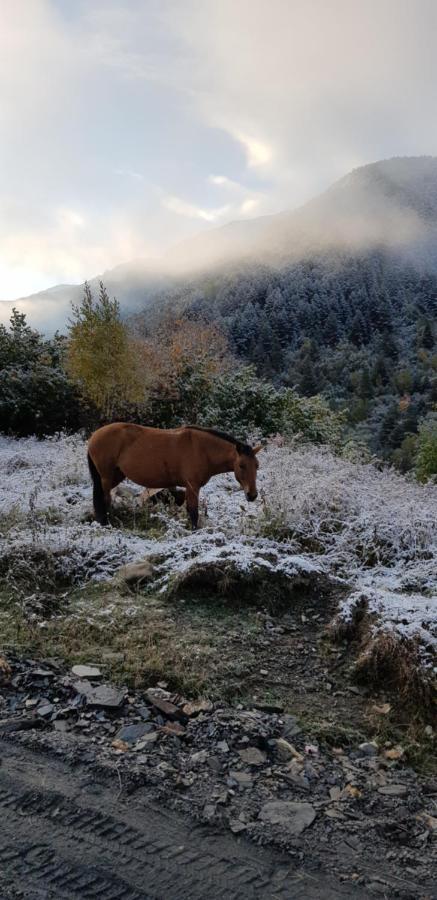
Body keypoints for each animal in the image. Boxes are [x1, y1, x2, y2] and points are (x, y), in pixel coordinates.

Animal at [87, 422, 260, 528]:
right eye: (241, 465)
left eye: (257, 466)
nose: (252, 495)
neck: (202, 449)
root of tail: (94, 435)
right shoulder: (192, 486)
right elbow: (193, 511)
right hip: (106, 477)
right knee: (105, 500)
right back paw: (107, 523)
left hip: (116, 476)